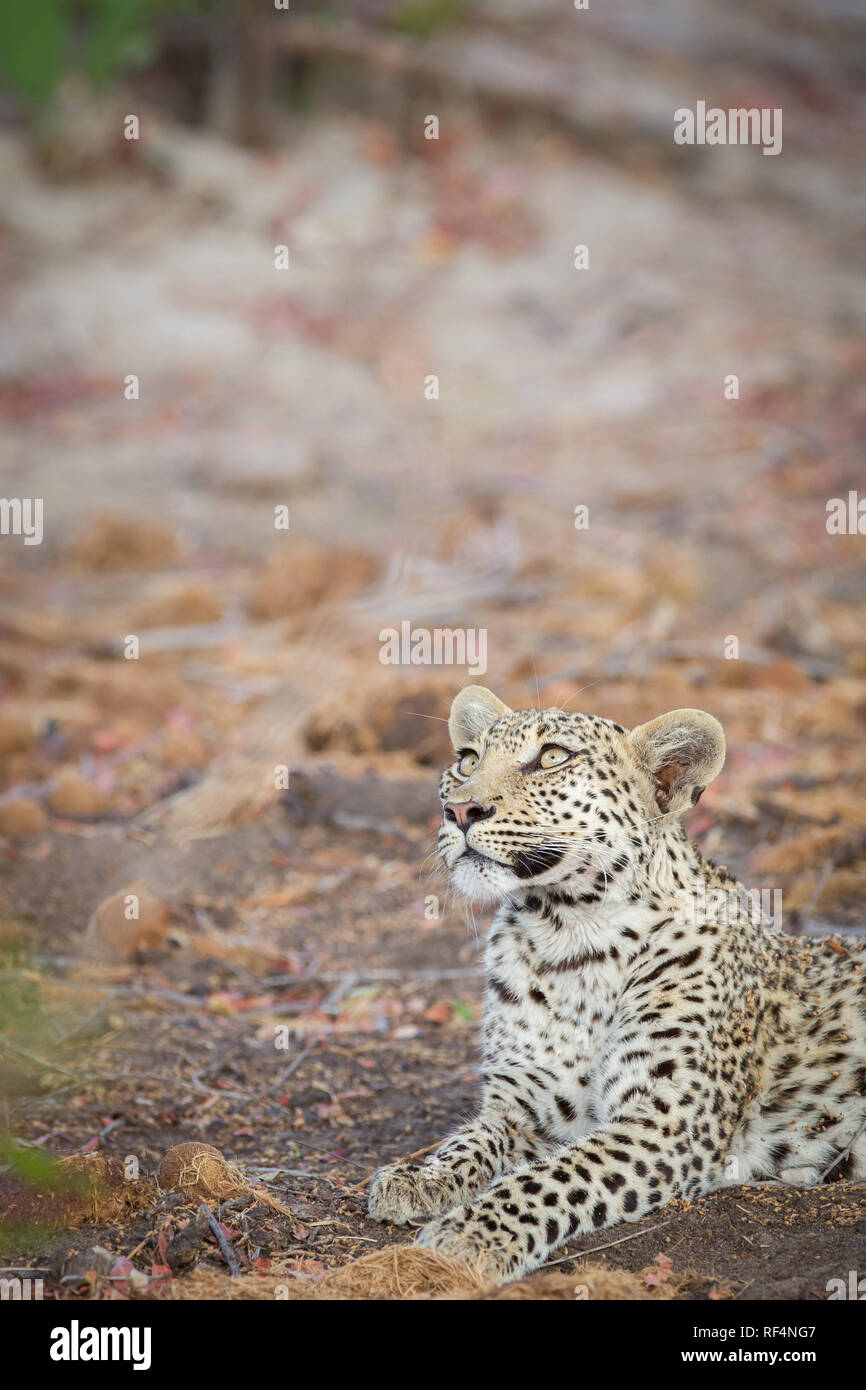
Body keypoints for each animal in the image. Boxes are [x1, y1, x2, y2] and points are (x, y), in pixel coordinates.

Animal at [366, 683, 866, 1278]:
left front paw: (473, 1235)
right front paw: (419, 1179)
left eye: (551, 757)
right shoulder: (521, 1105)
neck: (568, 940)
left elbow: (553, 1178)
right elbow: (469, 1140)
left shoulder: (666, 1120)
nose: (460, 808)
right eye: (467, 760)